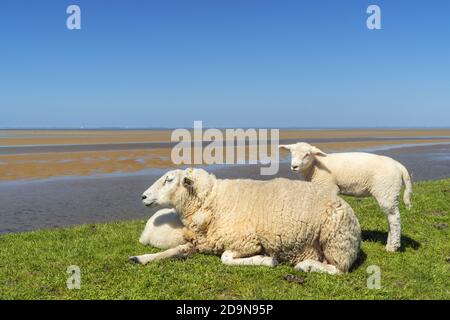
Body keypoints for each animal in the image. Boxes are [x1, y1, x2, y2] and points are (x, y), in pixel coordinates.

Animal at [129, 168, 362, 276]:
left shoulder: (247, 240)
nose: (143, 196)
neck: (213, 200)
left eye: (168, 180)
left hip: (335, 242)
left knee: (339, 269)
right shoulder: (199, 243)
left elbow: (225, 258)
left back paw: (306, 265)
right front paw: (139, 258)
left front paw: (266, 260)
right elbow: (173, 251)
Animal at [280, 142, 414, 252]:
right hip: (388, 192)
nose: (294, 166)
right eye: (291, 153)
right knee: (390, 217)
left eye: (307, 154)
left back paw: (393, 247)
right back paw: (389, 242)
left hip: (386, 189)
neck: (315, 166)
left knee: (394, 218)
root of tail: (400, 167)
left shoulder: (329, 186)